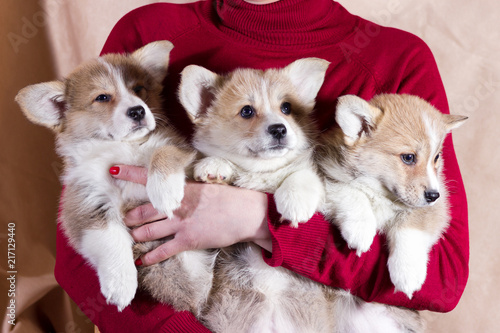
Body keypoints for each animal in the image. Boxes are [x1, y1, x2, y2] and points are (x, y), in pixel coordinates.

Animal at [15, 40, 215, 312]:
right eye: (102, 97)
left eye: (138, 89)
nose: (138, 111)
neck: (122, 148)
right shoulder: (85, 204)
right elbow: (110, 240)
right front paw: (120, 284)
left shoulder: (180, 148)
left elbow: (162, 153)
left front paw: (164, 193)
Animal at [179, 58, 328, 227]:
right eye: (246, 111)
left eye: (286, 107)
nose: (279, 129)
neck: (263, 169)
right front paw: (214, 164)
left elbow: (302, 174)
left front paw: (296, 201)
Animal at [318, 94, 466, 298]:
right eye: (408, 157)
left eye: (436, 157)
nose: (433, 196)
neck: (382, 192)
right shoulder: (327, 173)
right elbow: (352, 192)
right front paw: (361, 230)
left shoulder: (437, 208)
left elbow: (411, 225)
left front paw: (408, 272)